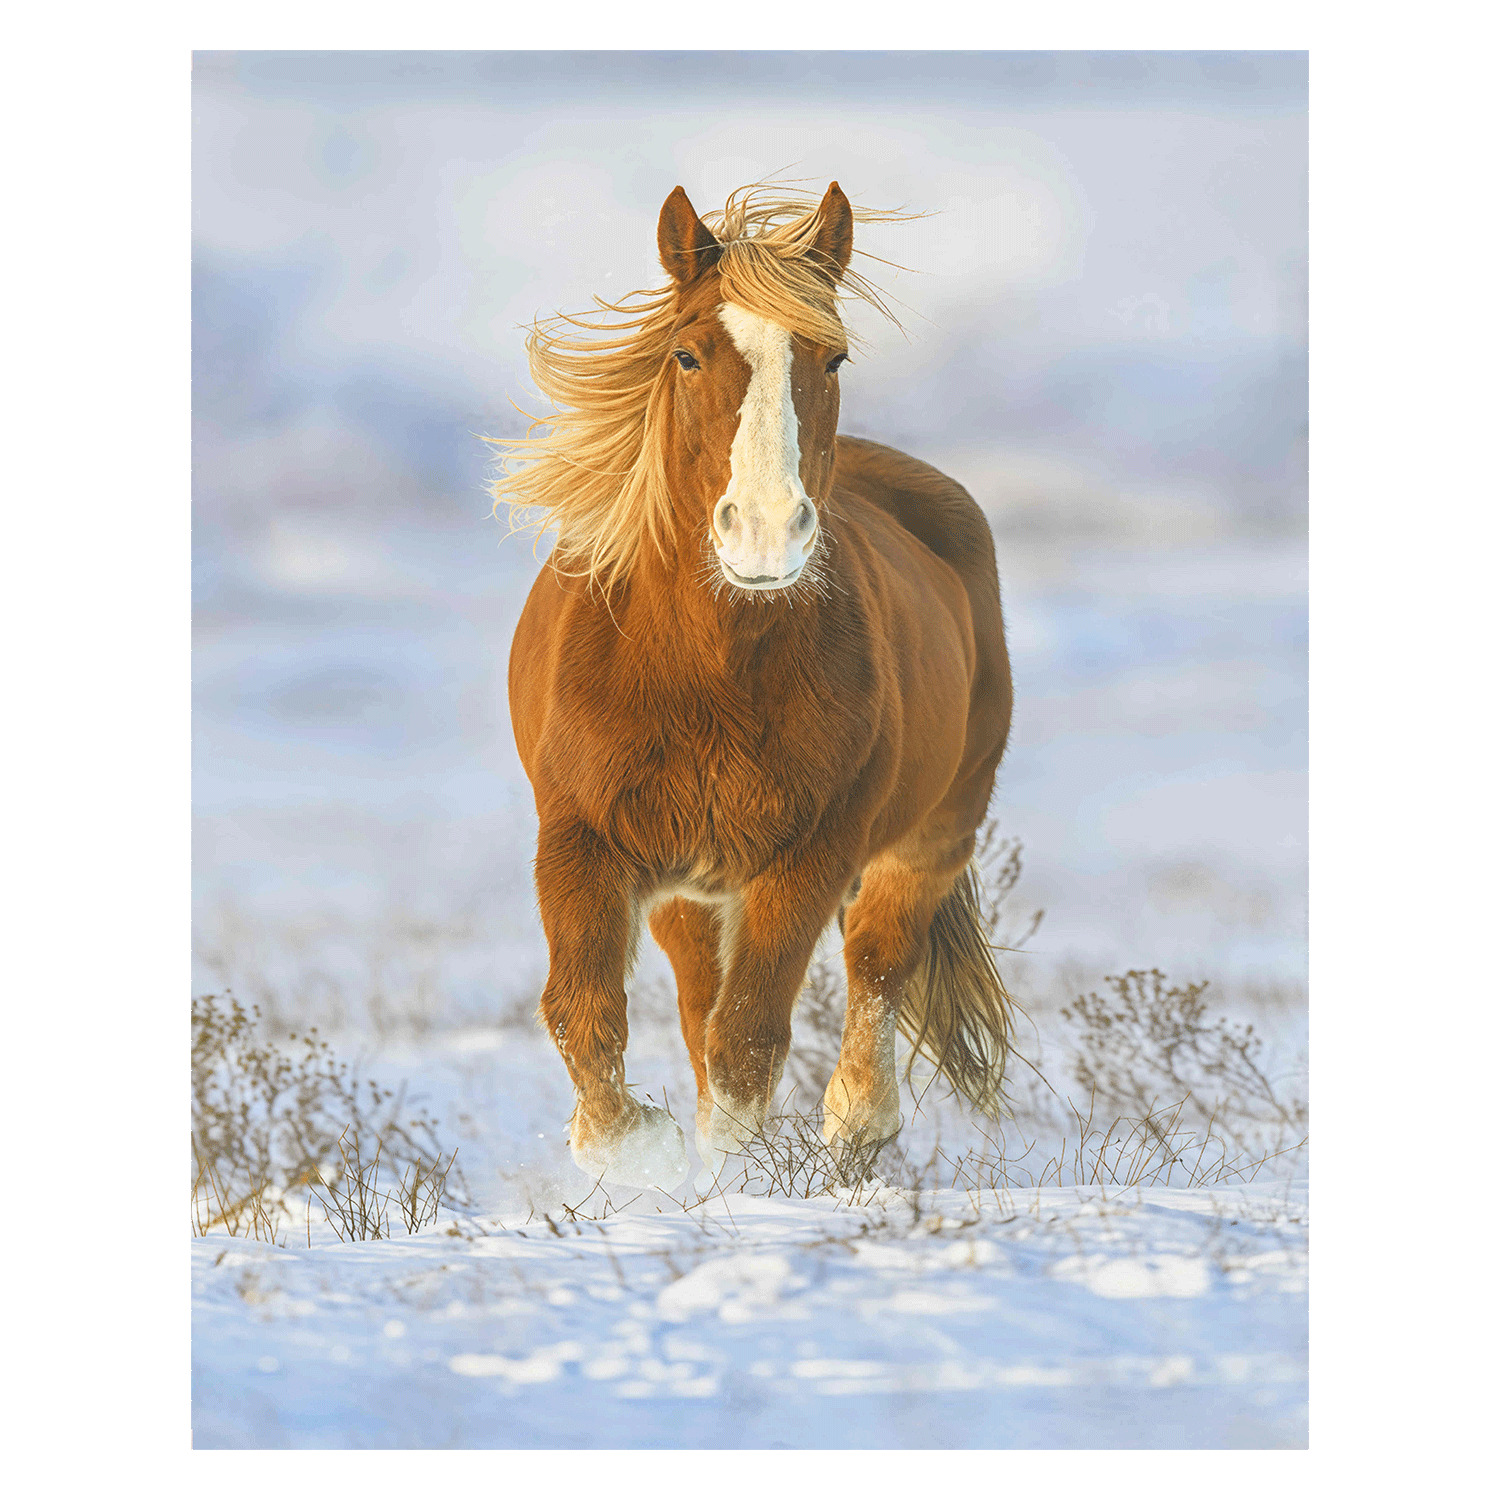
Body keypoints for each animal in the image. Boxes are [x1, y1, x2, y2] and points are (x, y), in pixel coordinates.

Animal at [497, 181, 1014, 1191]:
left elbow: (749, 1039)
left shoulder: (806, 860)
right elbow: (585, 1015)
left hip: (929, 835)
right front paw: (633, 1151)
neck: (704, 675)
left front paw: (730, 1186)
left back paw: (857, 1125)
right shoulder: (581, 842)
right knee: (701, 1006)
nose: (766, 533)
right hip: (693, 894)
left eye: (833, 354)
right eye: (686, 353)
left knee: (876, 961)